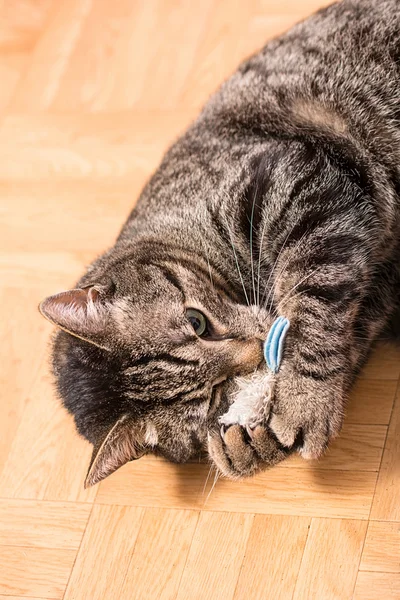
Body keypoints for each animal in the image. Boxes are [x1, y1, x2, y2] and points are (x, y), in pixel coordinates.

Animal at [39, 0, 400, 486]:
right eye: (211, 396)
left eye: (197, 322)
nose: (257, 353)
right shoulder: (374, 287)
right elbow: (347, 329)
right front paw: (250, 440)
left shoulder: (297, 184)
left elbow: (314, 302)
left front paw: (300, 399)